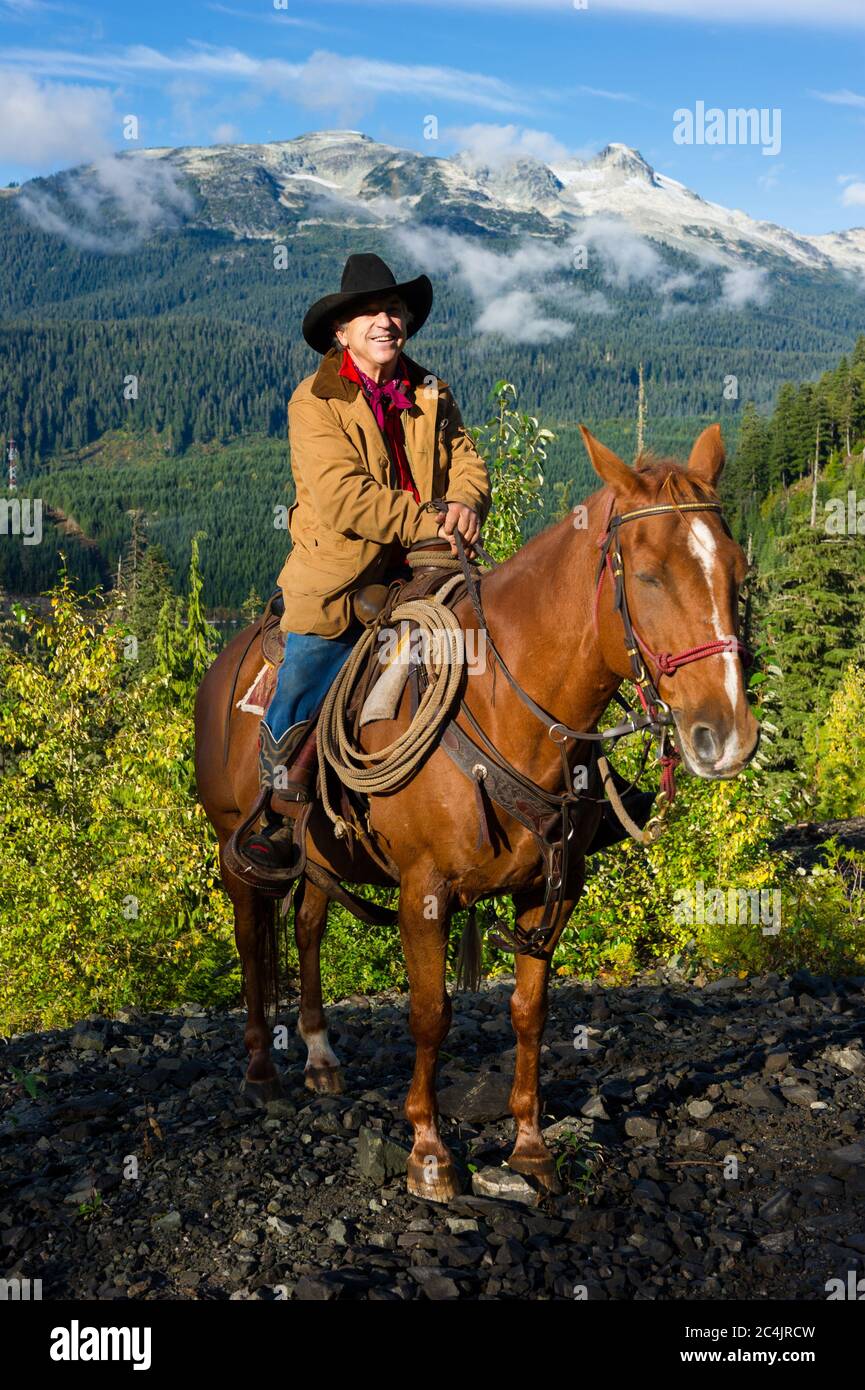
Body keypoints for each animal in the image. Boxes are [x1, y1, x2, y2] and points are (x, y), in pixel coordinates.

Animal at [194, 425, 756, 1206]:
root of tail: (225, 665)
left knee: (306, 927)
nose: (726, 735)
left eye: (737, 570)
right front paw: (429, 1153)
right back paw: (260, 1073)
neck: (501, 704)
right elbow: (431, 1015)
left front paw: (529, 1146)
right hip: (233, 844)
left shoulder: (551, 890)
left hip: (319, 856)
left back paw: (318, 1054)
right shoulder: (423, 891)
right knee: (253, 943)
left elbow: (529, 1012)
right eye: (646, 577)